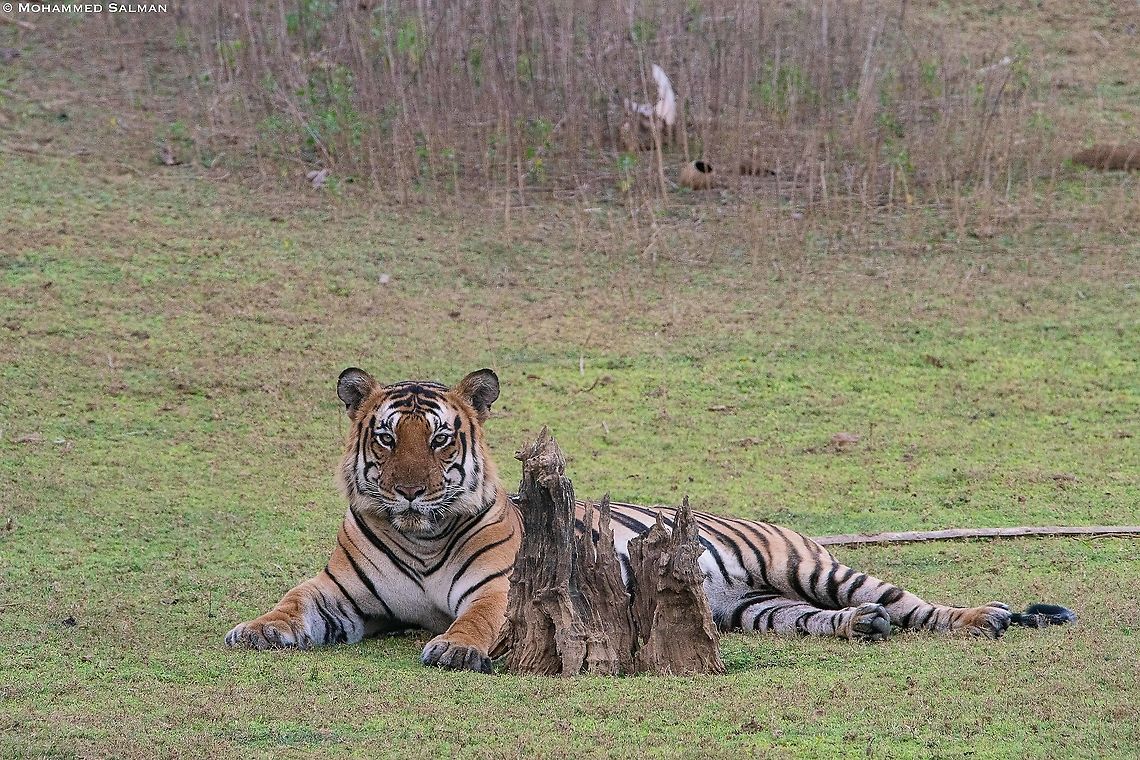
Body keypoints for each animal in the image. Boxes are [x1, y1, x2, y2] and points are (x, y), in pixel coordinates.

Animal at [225, 367, 1075, 672]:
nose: (407, 492)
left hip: (817, 566)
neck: (419, 536)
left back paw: (980, 618)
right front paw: (257, 630)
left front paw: (455, 649)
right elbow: (293, 602)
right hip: (761, 609)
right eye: (385, 438)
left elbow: (473, 621)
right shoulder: (338, 592)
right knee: (829, 618)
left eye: (437, 441)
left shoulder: (502, 590)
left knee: (916, 603)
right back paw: (863, 628)